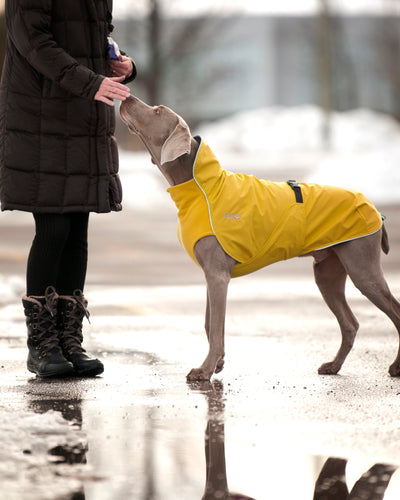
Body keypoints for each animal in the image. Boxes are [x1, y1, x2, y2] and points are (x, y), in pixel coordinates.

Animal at [120, 95, 400, 380]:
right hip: (327, 271)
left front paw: (205, 370)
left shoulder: (218, 275)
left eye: (157, 111)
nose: (127, 96)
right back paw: (333, 365)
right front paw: (217, 363)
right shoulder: (211, 273)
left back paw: (396, 367)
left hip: (362, 266)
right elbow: (210, 325)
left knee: (393, 312)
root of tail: (375, 209)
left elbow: (216, 328)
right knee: (350, 323)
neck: (201, 187)